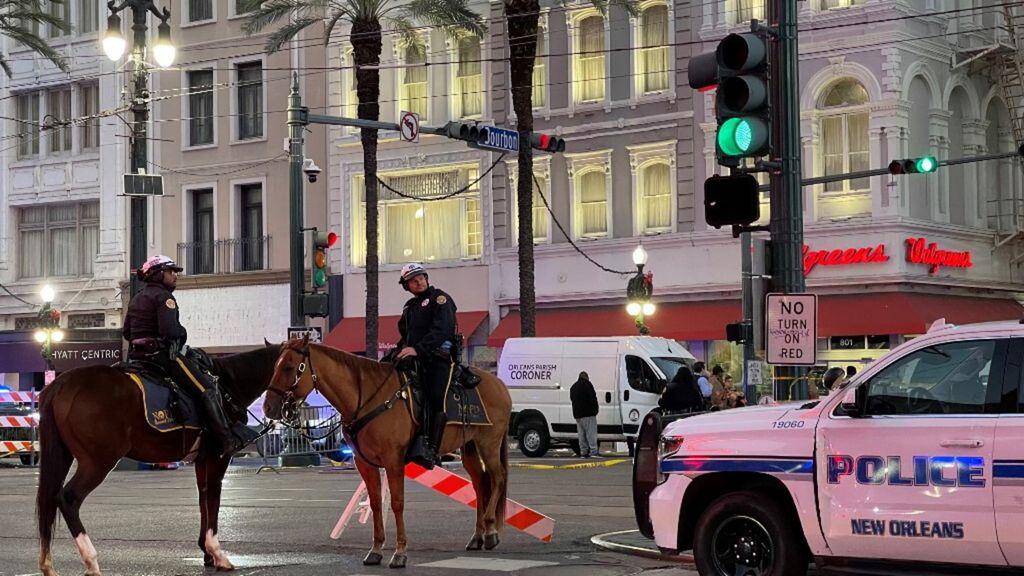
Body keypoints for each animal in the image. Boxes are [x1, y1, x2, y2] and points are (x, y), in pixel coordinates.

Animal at [35, 340, 282, 573]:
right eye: (288, 367)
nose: (272, 408)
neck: (227, 384)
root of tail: (62, 383)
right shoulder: (218, 456)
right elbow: (213, 498)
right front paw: (217, 554)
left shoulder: (202, 460)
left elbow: (203, 499)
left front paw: (207, 553)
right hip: (97, 462)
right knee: (68, 498)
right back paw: (91, 561)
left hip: (64, 456)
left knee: (49, 501)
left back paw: (48, 564)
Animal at [266, 336, 512, 565]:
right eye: (275, 365)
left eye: (289, 367)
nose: (269, 407)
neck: (366, 398)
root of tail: (499, 384)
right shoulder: (365, 463)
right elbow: (375, 503)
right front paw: (376, 549)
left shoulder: (393, 461)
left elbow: (397, 503)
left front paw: (400, 552)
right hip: (469, 446)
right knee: (480, 483)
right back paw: (478, 536)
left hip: (489, 443)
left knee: (498, 478)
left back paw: (491, 531)